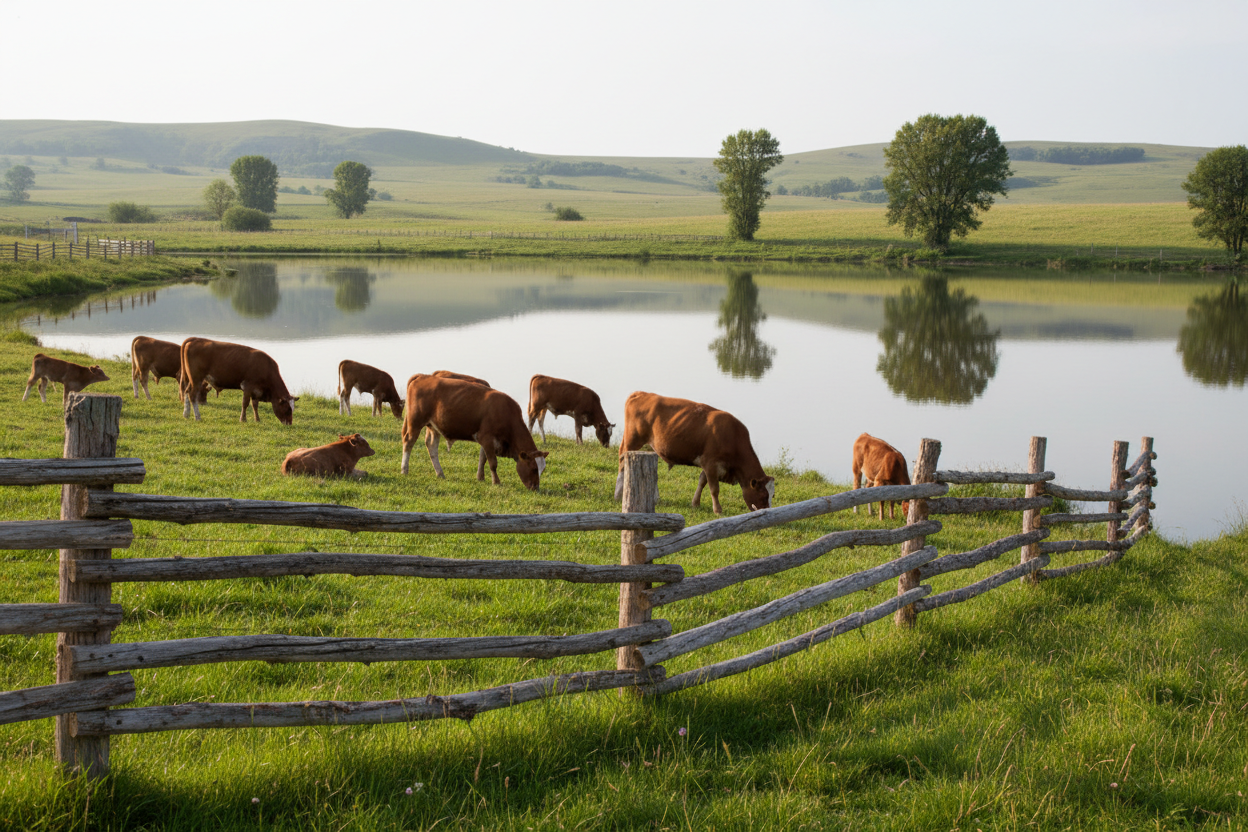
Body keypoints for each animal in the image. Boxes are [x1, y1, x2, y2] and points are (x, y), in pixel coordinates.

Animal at [400, 374, 548, 491]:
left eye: (542, 470)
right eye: (534, 469)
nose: (536, 488)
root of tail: (423, 376)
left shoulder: (486, 440)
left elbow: (482, 458)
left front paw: (480, 478)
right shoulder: (486, 437)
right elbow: (493, 462)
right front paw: (496, 482)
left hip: (433, 426)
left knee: (431, 447)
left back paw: (440, 473)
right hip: (415, 422)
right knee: (408, 442)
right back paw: (404, 470)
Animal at [614, 392, 774, 515]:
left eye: (773, 495)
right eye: (763, 495)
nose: (769, 512)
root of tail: (641, 393)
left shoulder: (708, 465)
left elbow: (702, 481)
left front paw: (695, 503)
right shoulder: (710, 463)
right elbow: (714, 489)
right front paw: (718, 510)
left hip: (651, 447)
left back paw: (654, 497)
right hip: (631, 441)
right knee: (622, 463)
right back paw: (618, 494)